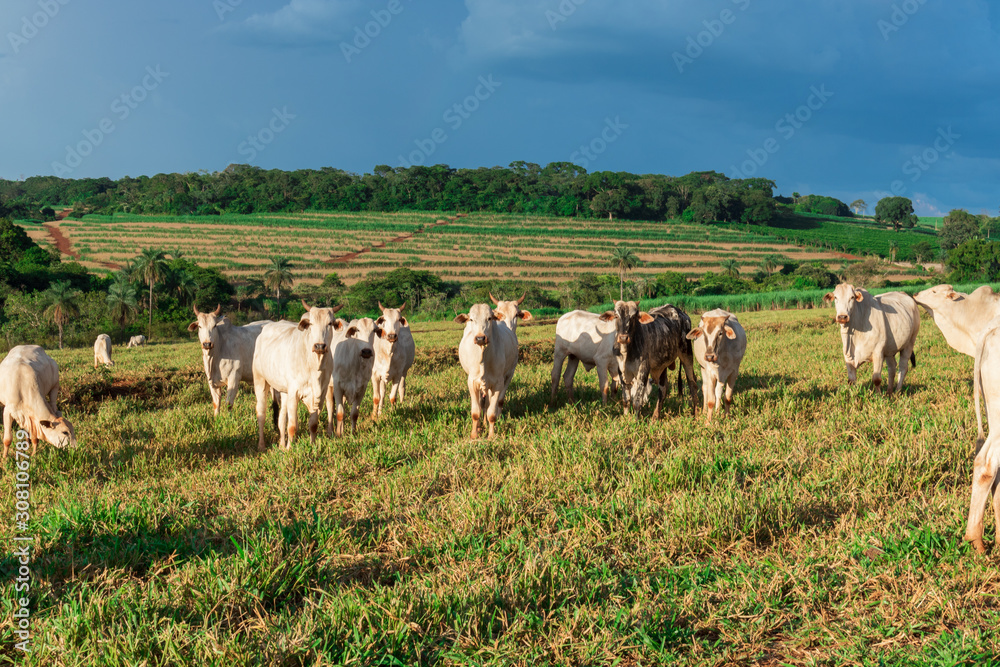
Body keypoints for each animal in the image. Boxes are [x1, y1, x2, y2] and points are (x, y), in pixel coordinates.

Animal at [252, 302, 344, 451]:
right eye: (311, 323)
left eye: (330, 323)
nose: (319, 346)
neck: (314, 365)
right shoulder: (294, 393)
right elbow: (293, 426)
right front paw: (290, 449)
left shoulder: (320, 395)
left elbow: (313, 424)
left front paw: (312, 446)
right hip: (260, 380)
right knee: (261, 413)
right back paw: (262, 445)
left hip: (284, 392)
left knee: (281, 419)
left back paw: (281, 445)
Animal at [455, 303, 519, 439]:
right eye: (471, 319)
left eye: (489, 318)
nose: (480, 338)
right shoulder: (472, 382)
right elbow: (475, 412)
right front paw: (474, 434)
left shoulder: (497, 384)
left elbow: (492, 413)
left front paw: (491, 436)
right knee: (482, 403)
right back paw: (480, 425)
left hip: (508, 375)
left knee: (491, 403)